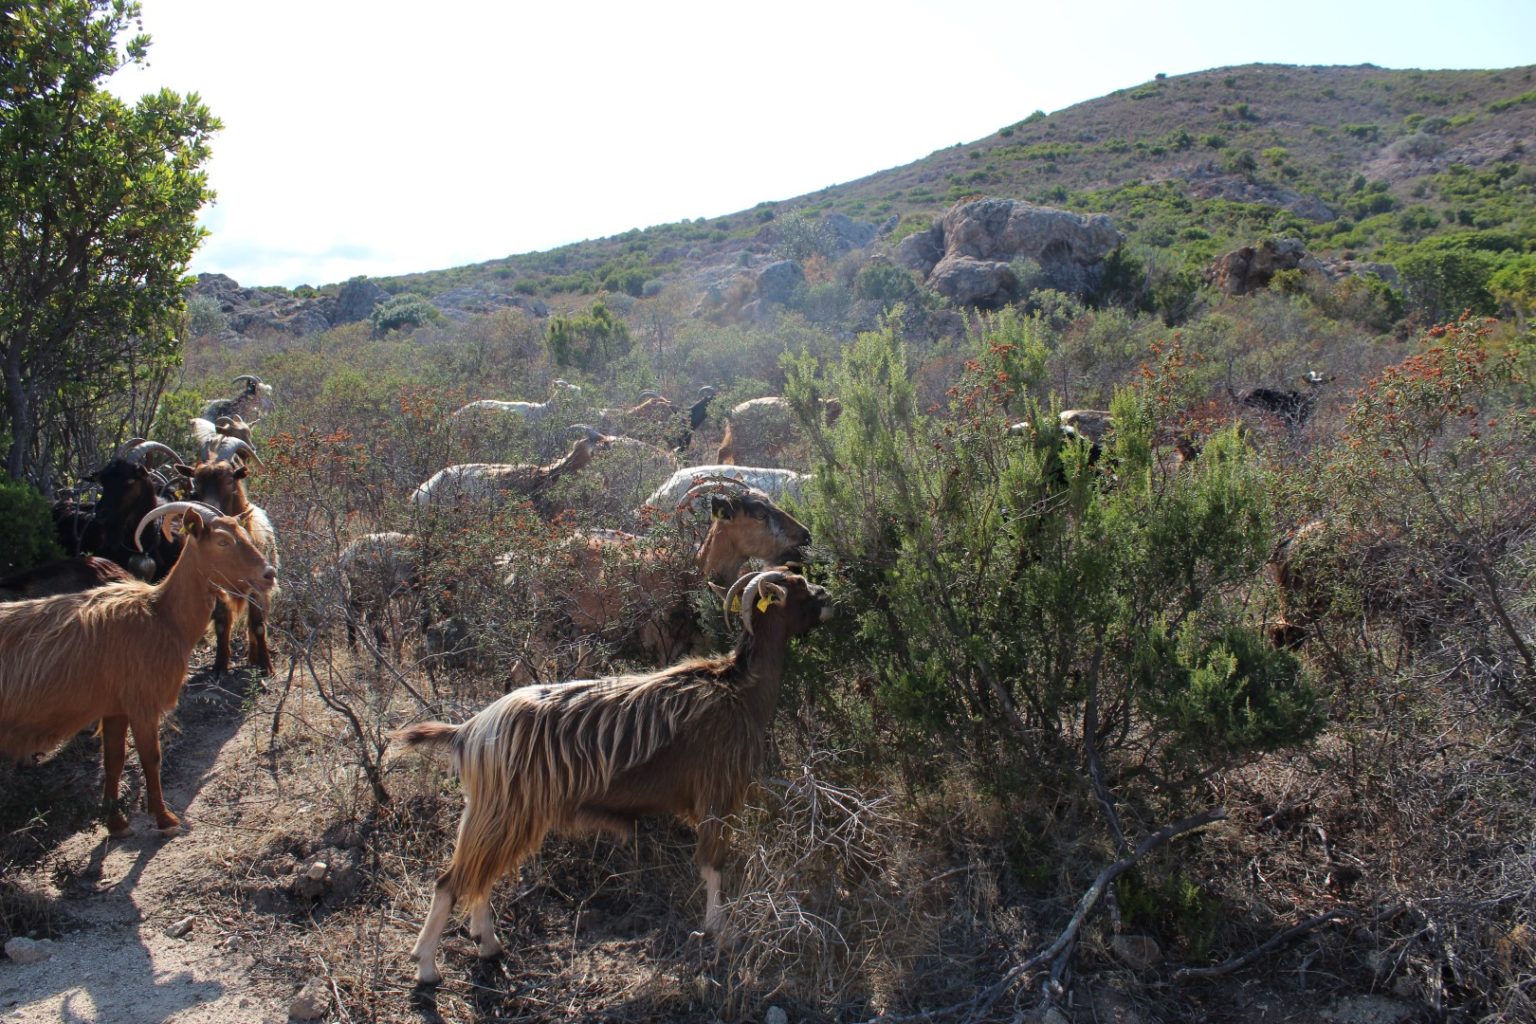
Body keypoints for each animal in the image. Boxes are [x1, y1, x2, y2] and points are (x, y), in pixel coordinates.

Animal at [0, 502, 276, 835]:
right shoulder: (142, 702)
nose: (269, 574)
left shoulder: (114, 707)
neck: (161, 615)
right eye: (223, 541)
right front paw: (165, 819)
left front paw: (116, 823)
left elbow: (115, 760)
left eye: (245, 535)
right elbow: (150, 757)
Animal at [175, 460, 281, 675]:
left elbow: (258, 624)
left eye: (230, 479)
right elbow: (222, 624)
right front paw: (220, 666)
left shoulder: (258, 588)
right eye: (196, 480)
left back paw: (254, 656)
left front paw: (266, 666)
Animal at [393, 566, 833, 984]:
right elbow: (713, 865)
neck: (737, 687)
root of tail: (470, 731)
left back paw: (487, 944)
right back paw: (427, 966)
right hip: (507, 812)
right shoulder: (717, 795)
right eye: (797, 585)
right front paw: (720, 931)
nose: (826, 596)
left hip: (491, 813)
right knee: (451, 881)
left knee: (478, 877)